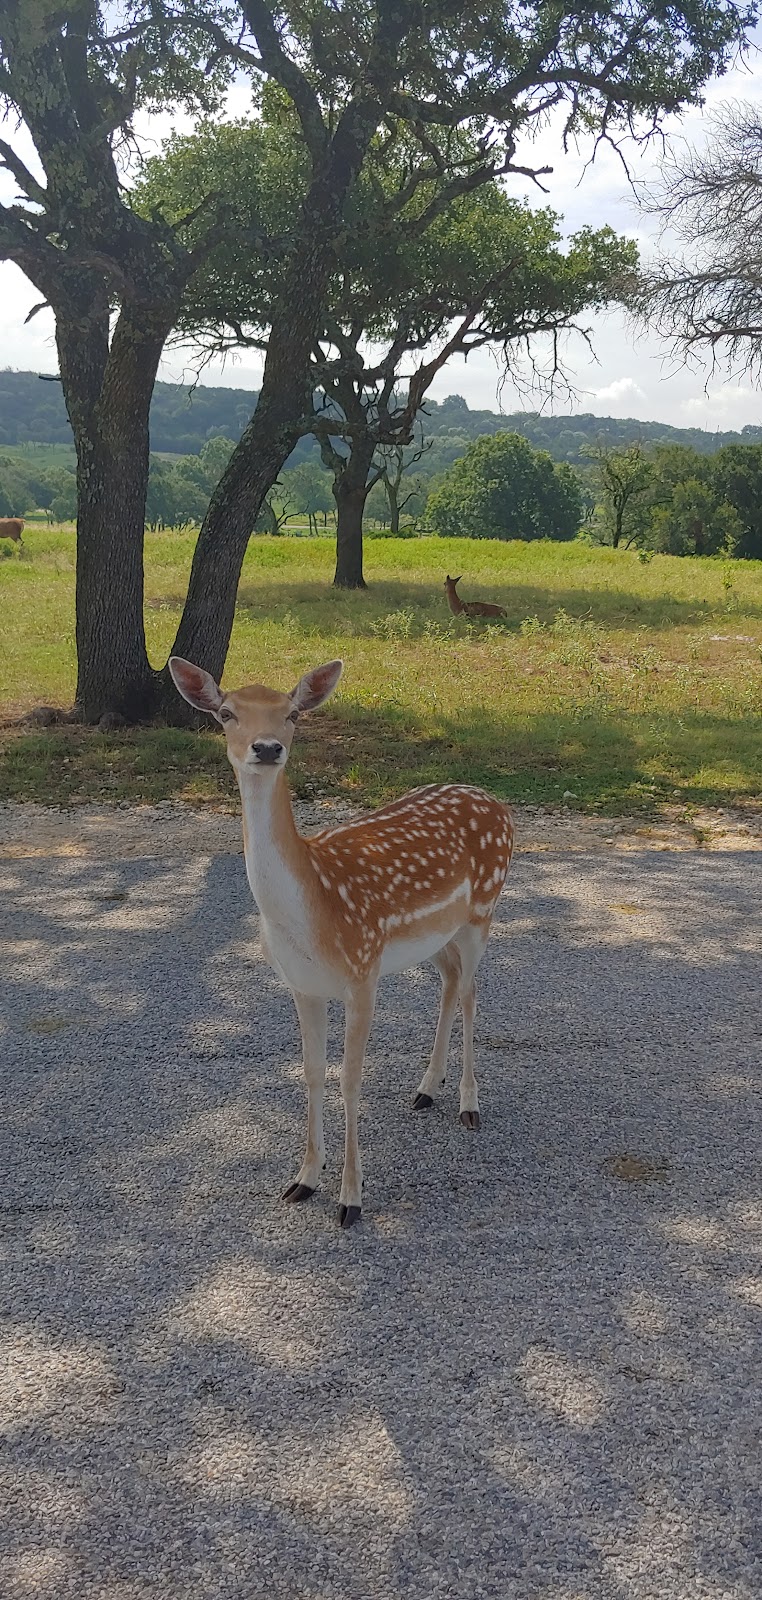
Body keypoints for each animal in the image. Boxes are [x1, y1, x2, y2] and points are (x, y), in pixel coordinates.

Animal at [165, 656, 512, 1228]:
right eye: (226, 713)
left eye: (292, 714)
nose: (266, 747)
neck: (313, 908)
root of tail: (498, 802)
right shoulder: (302, 984)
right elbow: (310, 1072)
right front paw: (304, 1179)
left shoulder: (362, 973)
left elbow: (350, 1077)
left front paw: (350, 1197)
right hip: (435, 937)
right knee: (450, 982)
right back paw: (426, 1089)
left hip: (483, 910)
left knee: (471, 992)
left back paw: (468, 1104)